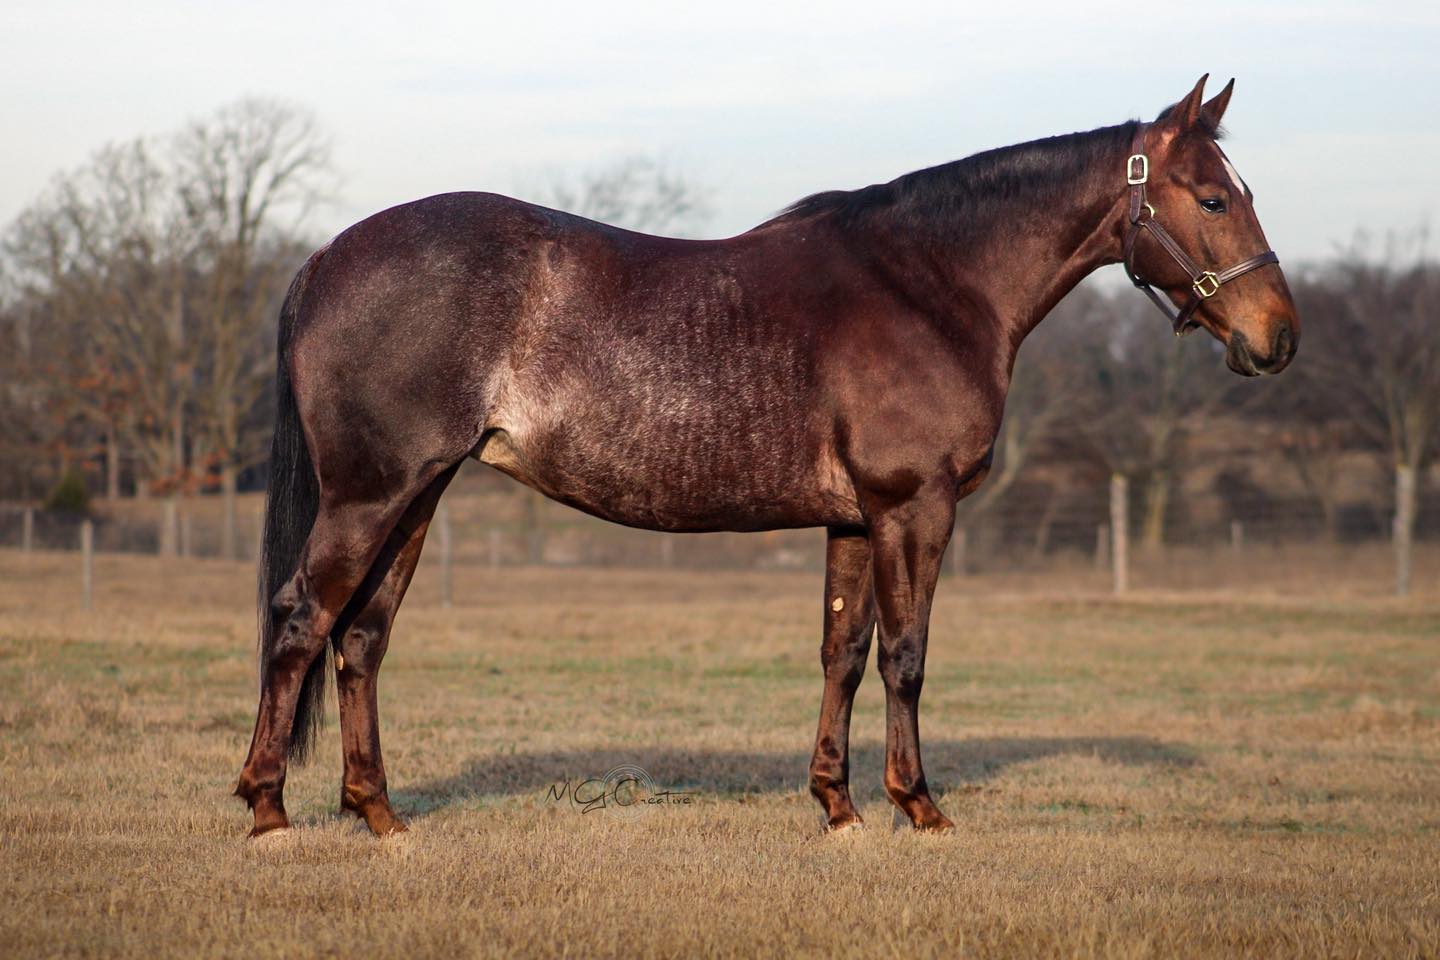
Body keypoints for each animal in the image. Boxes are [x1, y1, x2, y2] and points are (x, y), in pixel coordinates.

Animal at [236, 75, 1298, 837]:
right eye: (1212, 198)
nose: (1279, 338)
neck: (929, 285)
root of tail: (324, 258)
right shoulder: (914, 508)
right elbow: (907, 657)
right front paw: (920, 806)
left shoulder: (854, 521)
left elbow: (844, 654)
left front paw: (838, 806)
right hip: (369, 497)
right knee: (301, 620)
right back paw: (269, 810)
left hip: (415, 497)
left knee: (362, 640)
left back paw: (380, 816)